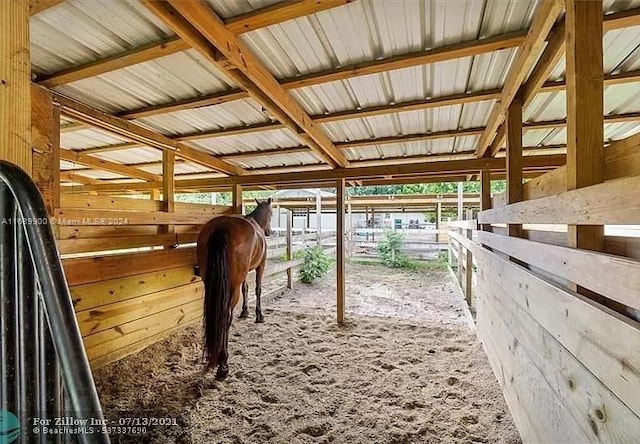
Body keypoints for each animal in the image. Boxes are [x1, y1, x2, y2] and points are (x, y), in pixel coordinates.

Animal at [198, 199, 272, 380]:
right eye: (272, 213)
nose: (269, 231)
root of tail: (222, 228)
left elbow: (246, 288)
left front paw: (245, 312)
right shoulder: (260, 266)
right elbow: (258, 289)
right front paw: (259, 315)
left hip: (210, 283)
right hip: (232, 287)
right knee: (225, 317)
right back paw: (222, 364)